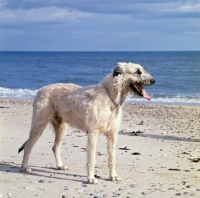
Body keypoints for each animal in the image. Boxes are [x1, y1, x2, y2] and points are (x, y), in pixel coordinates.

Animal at [18, 62, 155, 184]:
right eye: (137, 72)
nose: (154, 81)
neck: (110, 97)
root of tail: (40, 89)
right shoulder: (93, 133)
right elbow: (91, 158)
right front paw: (91, 178)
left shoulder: (112, 134)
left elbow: (112, 157)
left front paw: (113, 176)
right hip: (39, 123)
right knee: (29, 145)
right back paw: (25, 167)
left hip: (61, 127)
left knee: (55, 147)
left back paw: (60, 165)